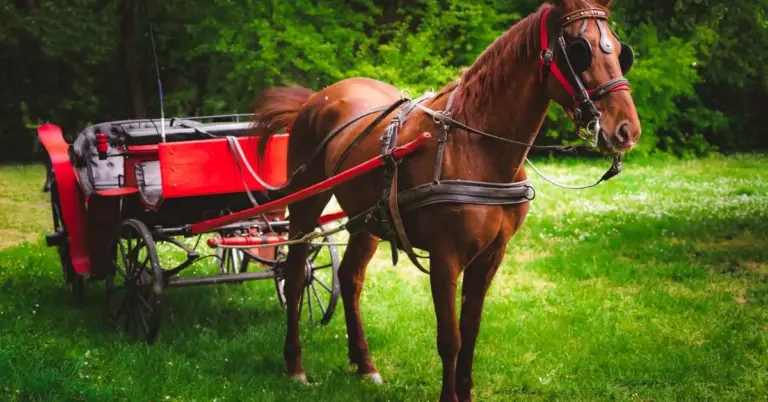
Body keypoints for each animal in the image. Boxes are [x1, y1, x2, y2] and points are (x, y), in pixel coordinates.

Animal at [250, 0, 641, 400]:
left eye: (620, 52)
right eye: (579, 50)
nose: (626, 129)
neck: (476, 147)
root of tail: (316, 99)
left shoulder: (491, 255)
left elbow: (470, 332)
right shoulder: (445, 257)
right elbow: (449, 339)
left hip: (367, 218)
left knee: (350, 277)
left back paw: (365, 364)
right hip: (307, 201)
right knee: (295, 275)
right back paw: (295, 365)